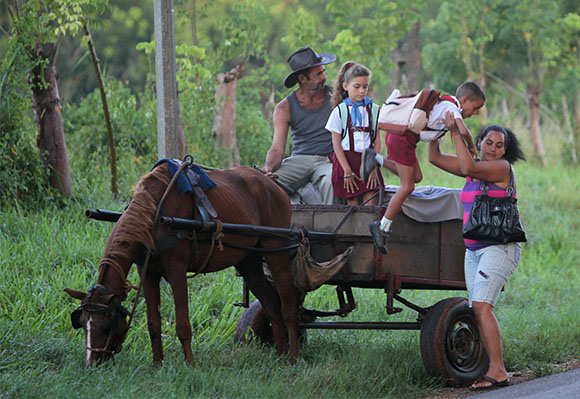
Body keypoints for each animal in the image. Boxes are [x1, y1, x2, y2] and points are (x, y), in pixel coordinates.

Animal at [64, 164, 300, 368]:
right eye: (81, 322)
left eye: (106, 326)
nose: (91, 365)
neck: (155, 213)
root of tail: (272, 185)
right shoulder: (147, 273)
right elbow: (153, 323)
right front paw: (157, 364)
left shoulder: (176, 271)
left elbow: (183, 325)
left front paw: (190, 365)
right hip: (248, 259)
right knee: (271, 304)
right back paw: (280, 354)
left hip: (276, 250)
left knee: (288, 305)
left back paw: (293, 357)